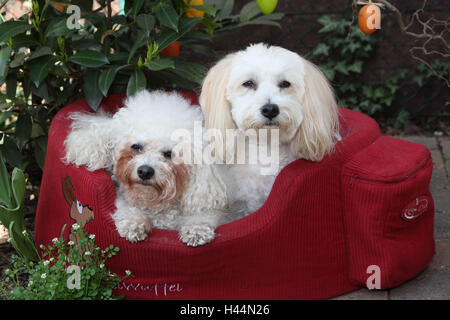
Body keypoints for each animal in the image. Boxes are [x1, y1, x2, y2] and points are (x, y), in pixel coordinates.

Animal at [65, 91, 227, 246]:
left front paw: (196, 229)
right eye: (136, 146)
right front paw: (134, 223)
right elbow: (128, 209)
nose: (145, 171)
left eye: (169, 154)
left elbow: (203, 214)